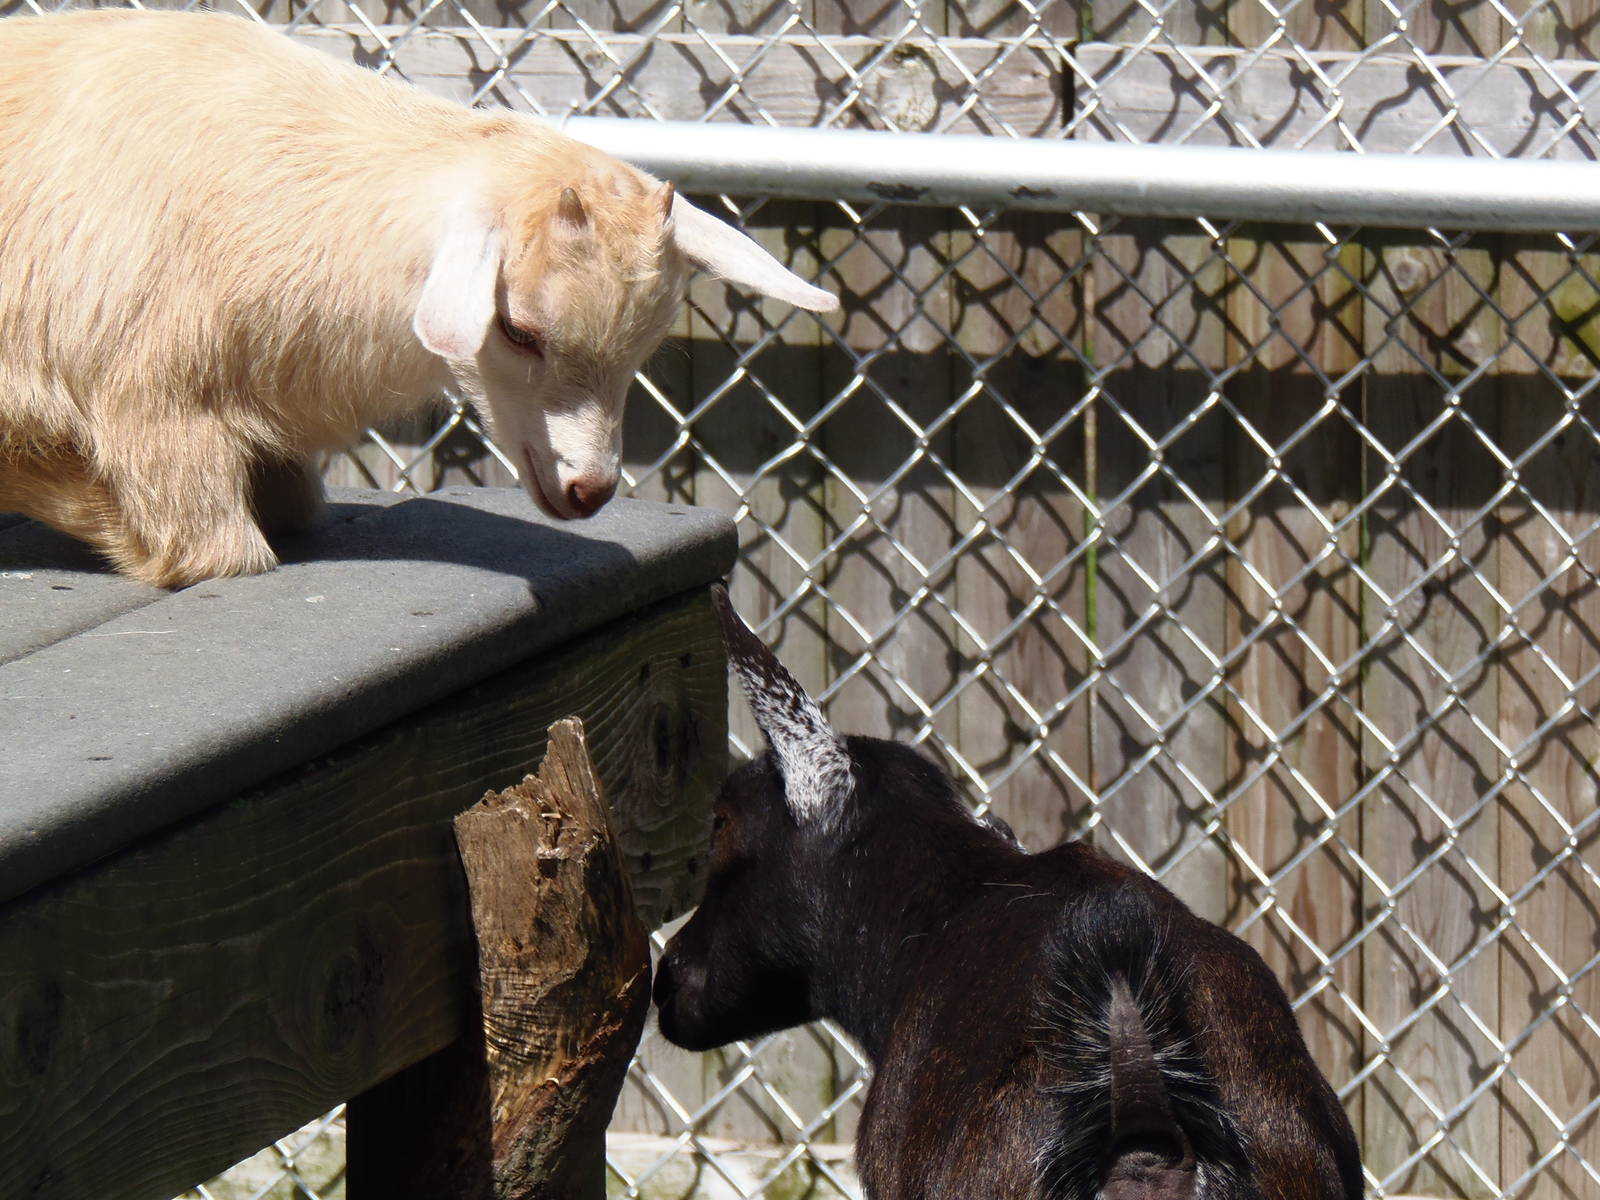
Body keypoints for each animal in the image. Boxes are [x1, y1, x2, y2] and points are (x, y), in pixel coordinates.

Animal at [0, 10, 835, 587]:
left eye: (645, 347)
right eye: (518, 331)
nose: (590, 489)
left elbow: (295, 507)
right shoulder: (160, 417)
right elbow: (211, 553)